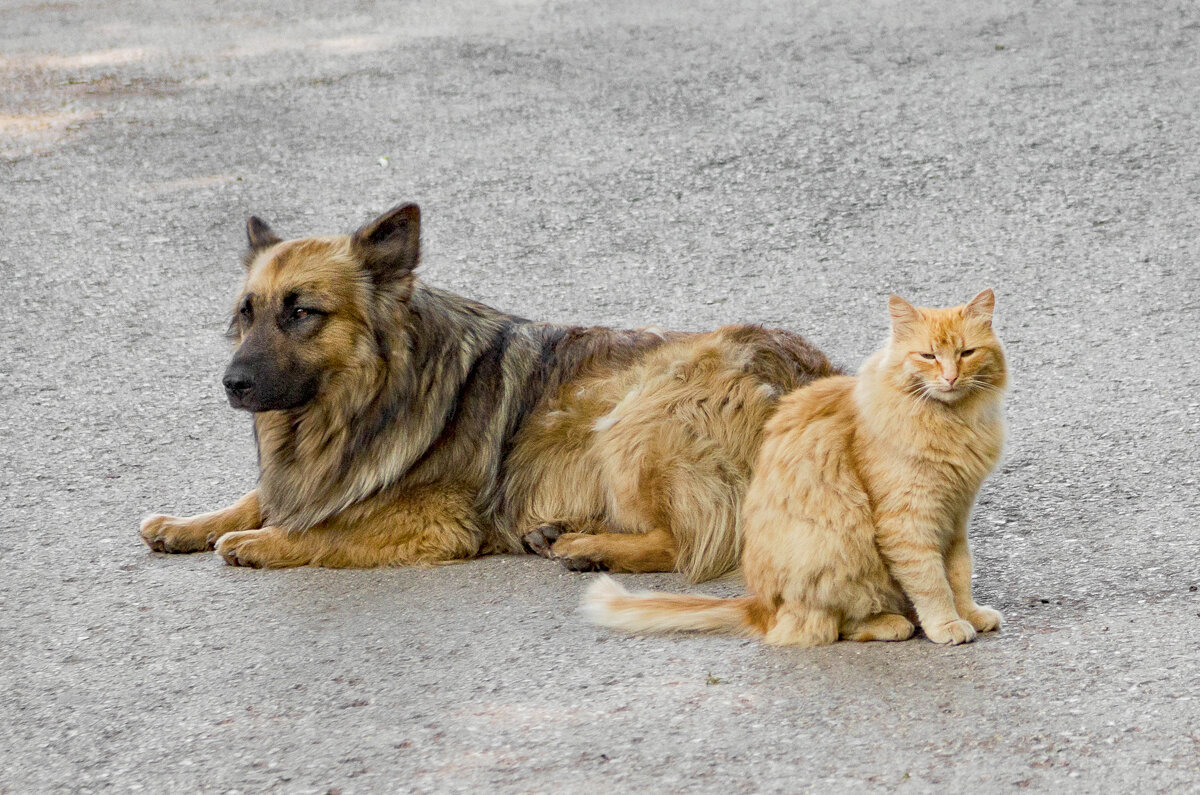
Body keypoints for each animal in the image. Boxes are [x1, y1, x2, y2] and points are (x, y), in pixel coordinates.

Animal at [138, 202, 835, 583]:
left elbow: (328, 529)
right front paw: (188, 524)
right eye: (247, 312)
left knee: (686, 542)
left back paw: (585, 547)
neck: (365, 397)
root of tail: (800, 372)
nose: (232, 384)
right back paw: (560, 534)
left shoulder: (439, 519)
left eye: (302, 312)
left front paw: (265, 542)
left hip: (635, 419)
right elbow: (261, 497)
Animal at [580, 291, 1003, 648]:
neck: (951, 424)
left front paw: (968, 613)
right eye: (928, 356)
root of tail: (760, 605)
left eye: (967, 353)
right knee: (830, 623)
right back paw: (890, 623)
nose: (950, 377)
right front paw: (946, 624)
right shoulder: (908, 521)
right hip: (840, 541)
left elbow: (959, 573)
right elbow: (932, 581)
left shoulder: (955, 516)